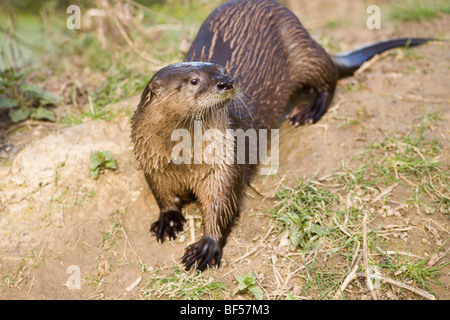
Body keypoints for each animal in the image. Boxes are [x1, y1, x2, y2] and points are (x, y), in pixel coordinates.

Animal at [131, 0, 432, 272]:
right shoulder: (151, 163)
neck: (184, 159)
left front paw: (207, 245)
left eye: (224, 70)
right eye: (194, 80)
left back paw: (309, 110)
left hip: (301, 52)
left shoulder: (225, 161)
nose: (226, 82)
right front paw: (168, 220)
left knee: (328, 75)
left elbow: (222, 204)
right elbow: (161, 194)